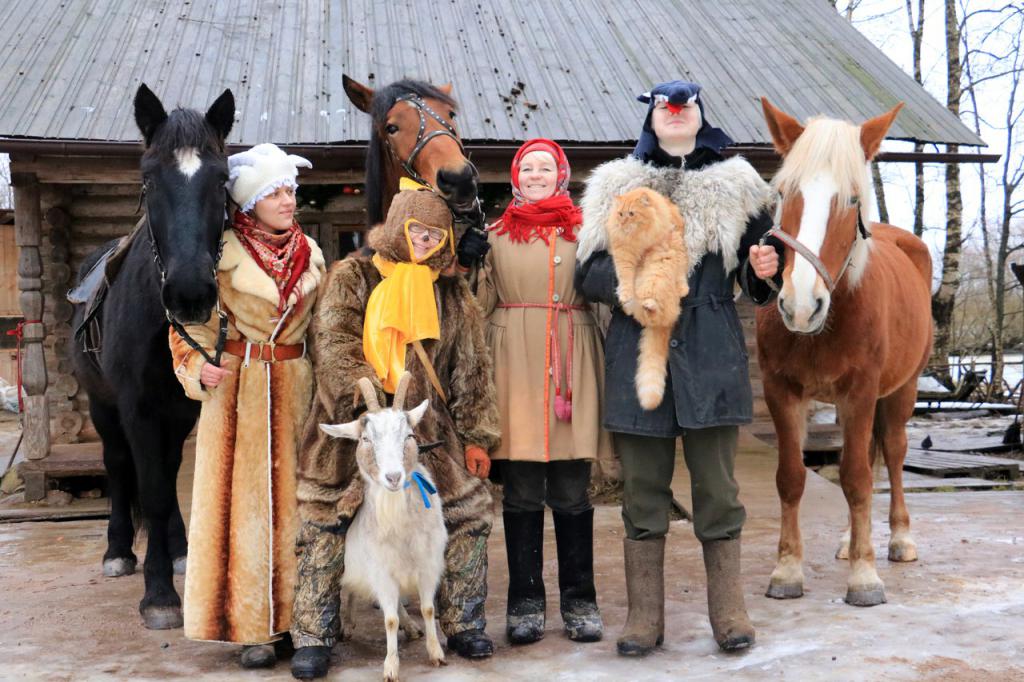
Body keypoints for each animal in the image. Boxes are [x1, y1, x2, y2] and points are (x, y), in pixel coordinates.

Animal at [70, 83, 234, 626]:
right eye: (147, 177)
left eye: (222, 177)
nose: (189, 293)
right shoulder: (136, 407)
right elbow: (154, 490)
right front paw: (159, 594)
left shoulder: (183, 407)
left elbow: (166, 482)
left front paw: (174, 561)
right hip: (102, 407)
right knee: (119, 466)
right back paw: (118, 551)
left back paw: (178, 548)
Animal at [319, 372, 448, 679]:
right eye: (366, 439)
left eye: (409, 436)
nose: (393, 477)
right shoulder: (381, 572)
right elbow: (389, 620)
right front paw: (390, 667)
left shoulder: (428, 565)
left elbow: (427, 609)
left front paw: (436, 652)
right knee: (351, 592)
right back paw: (348, 625)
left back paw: (411, 628)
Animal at [606, 186, 688, 409]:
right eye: (620, 214)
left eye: (631, 214)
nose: (623, 223)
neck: (640, 238)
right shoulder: (623, 253)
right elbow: (625, 277)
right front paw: (625, 293)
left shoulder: (674, 236)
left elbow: (682, 267)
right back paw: (632, 304)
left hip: (660, 269)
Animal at [757, 98, 933, 602]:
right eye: (783, 193)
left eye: (852, 199)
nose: (800, 305)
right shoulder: (781, 391)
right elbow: (792, 477)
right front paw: (787, 570)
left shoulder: (861, 392)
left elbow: (857, 478)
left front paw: (864, 575)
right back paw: (847, 539)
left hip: (901, 390)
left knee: (891, 452)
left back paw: (898, 538)